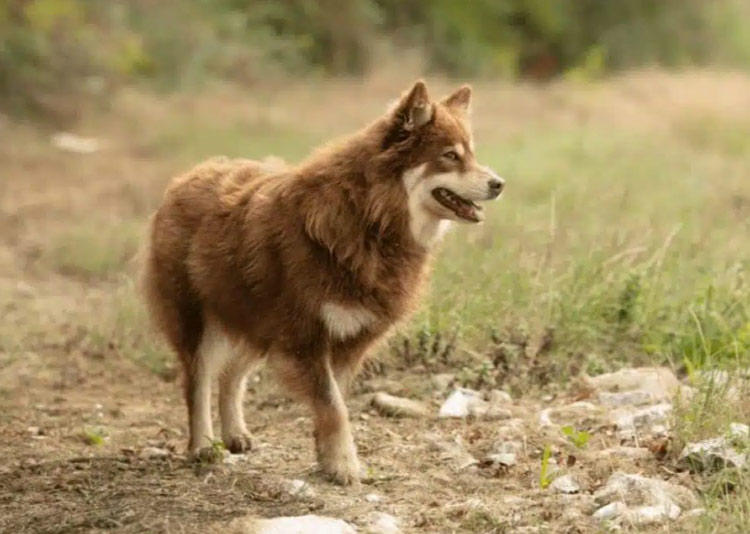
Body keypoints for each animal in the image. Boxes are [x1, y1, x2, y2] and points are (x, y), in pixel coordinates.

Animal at [141, 80, 506, 486]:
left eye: (470, 153)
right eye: (450, 156)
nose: (499, 184)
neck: (371, 220)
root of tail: (187, 177)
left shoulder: (345, 341)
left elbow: (334, 402)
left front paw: (328, 458)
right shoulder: (305, 338)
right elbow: (333, 406)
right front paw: (344, 465)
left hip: (257, 322)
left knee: (232, 376)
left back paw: (235, 435)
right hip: (200, 322)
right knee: (199, 381)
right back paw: (203, 446)